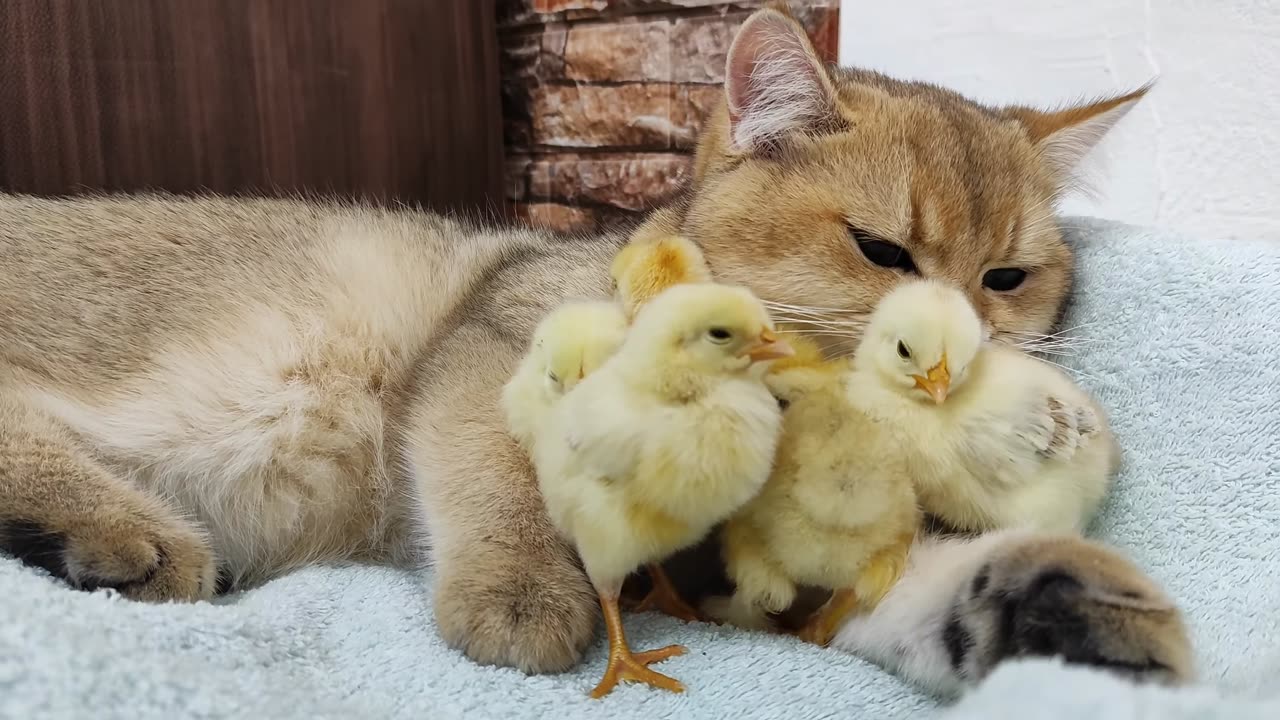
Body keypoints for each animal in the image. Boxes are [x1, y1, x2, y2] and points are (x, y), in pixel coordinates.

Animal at [0, 4, 1187, 691]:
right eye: (880, 249)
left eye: (1006, 278)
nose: (969, 339)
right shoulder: (487, 343)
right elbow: (505, 473)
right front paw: (522, 588)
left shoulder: (754, 580)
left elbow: (909, 597)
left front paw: (1064, 608)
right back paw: (127, 532)